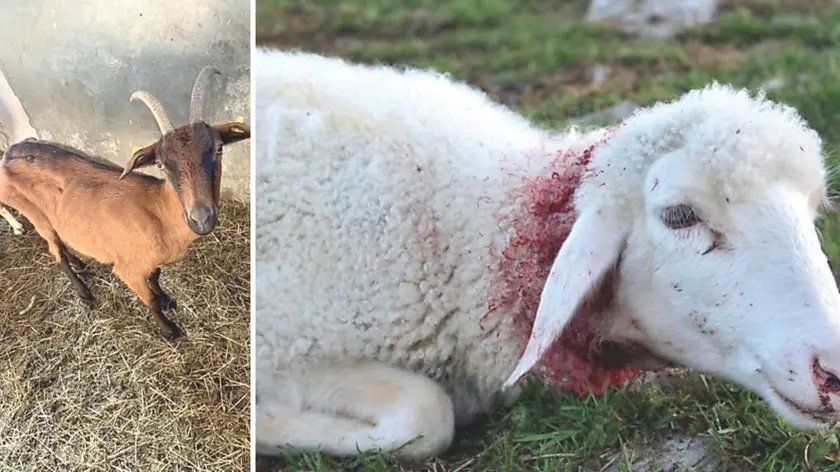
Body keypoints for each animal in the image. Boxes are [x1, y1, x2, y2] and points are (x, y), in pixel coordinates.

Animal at [0, 66, 250, 339]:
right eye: (161, 164)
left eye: (219, 149)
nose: (201, 218)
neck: (159, 212)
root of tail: (10, 151)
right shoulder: (127, 269)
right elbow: (149, 298)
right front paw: (169, 329)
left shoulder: (149, 262)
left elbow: (156, 276)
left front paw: (167, 300)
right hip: (35, 215)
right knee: (56, 253)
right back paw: (85, 293)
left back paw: (81, 263)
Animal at [254, 48, 840, 460]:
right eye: (679, 215)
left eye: (812, 210)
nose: (833, 373)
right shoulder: (284, 346)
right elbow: (426, 414)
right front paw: (269, 428)